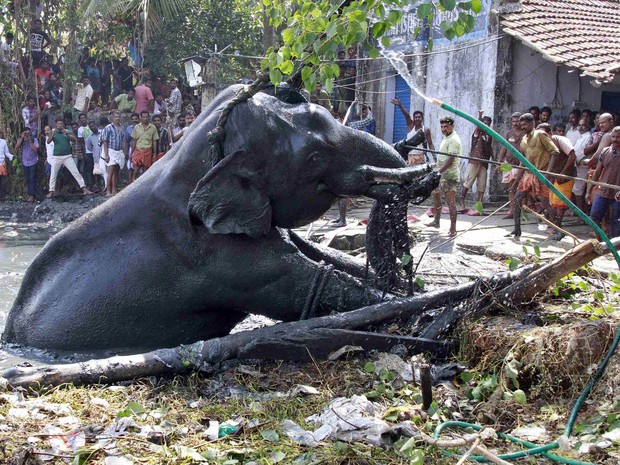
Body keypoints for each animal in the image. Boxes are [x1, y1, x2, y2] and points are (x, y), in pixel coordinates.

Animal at [2, 83, 438, 352]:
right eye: (314, 157)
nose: (428, 174)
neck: (189, 155)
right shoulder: (217, 260)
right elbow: (314, 285)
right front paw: (420, 304)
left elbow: (323, 257)